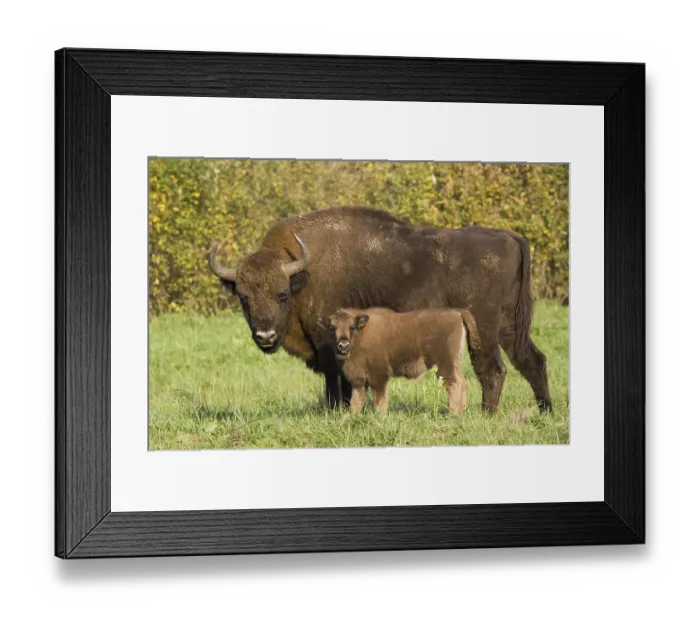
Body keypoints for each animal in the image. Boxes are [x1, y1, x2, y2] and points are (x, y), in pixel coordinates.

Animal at [318, 307, 480, 414]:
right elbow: (356, 402)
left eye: (352, 327)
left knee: (455, 384)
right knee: (462, 382)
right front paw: (353, 417)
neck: (362, 334)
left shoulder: (379, 378)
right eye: (331, 328)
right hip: (453, 365)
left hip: (444, 365)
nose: (343, 345)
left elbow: (379, 401)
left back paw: (453, 414)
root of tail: (457, 313)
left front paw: (380, 417)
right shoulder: (358, 381)